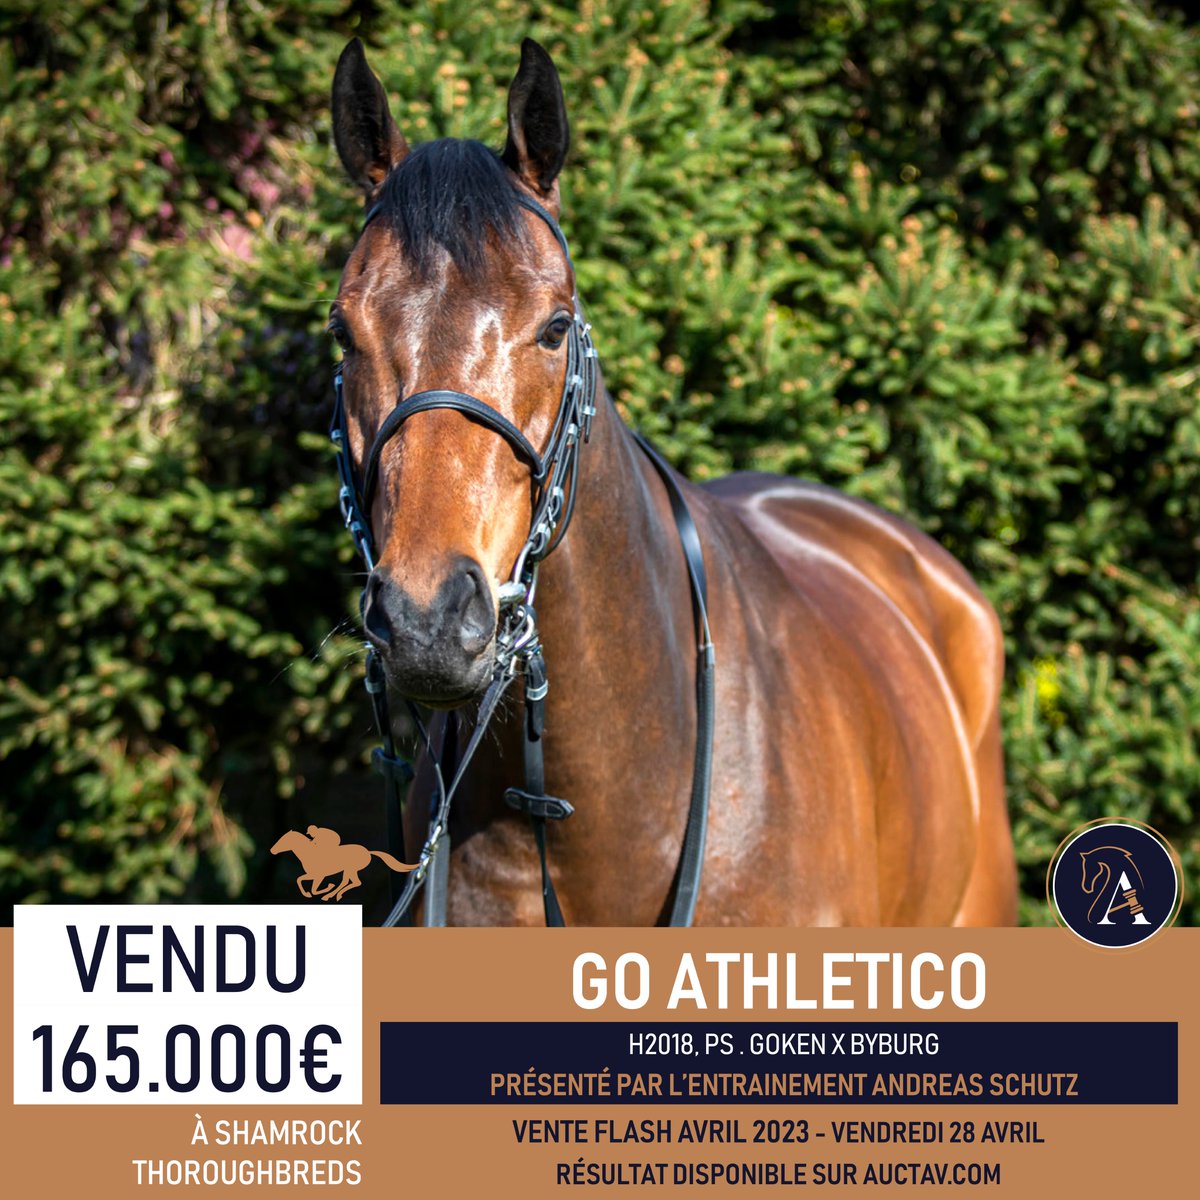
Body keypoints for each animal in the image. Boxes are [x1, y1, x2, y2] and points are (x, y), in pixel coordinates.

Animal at [271, 826, 417, 902]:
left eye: (283, 840)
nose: (272, 850)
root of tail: (368, 851)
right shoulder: (313, 875)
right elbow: (300, 880)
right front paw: (310, 893)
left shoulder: (319, 876)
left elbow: (312, 888)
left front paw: (326, 887)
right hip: (348, 870)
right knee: (349, 881)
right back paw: (333, 895)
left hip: (350, 869)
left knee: (354, 882)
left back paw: (331, 894)